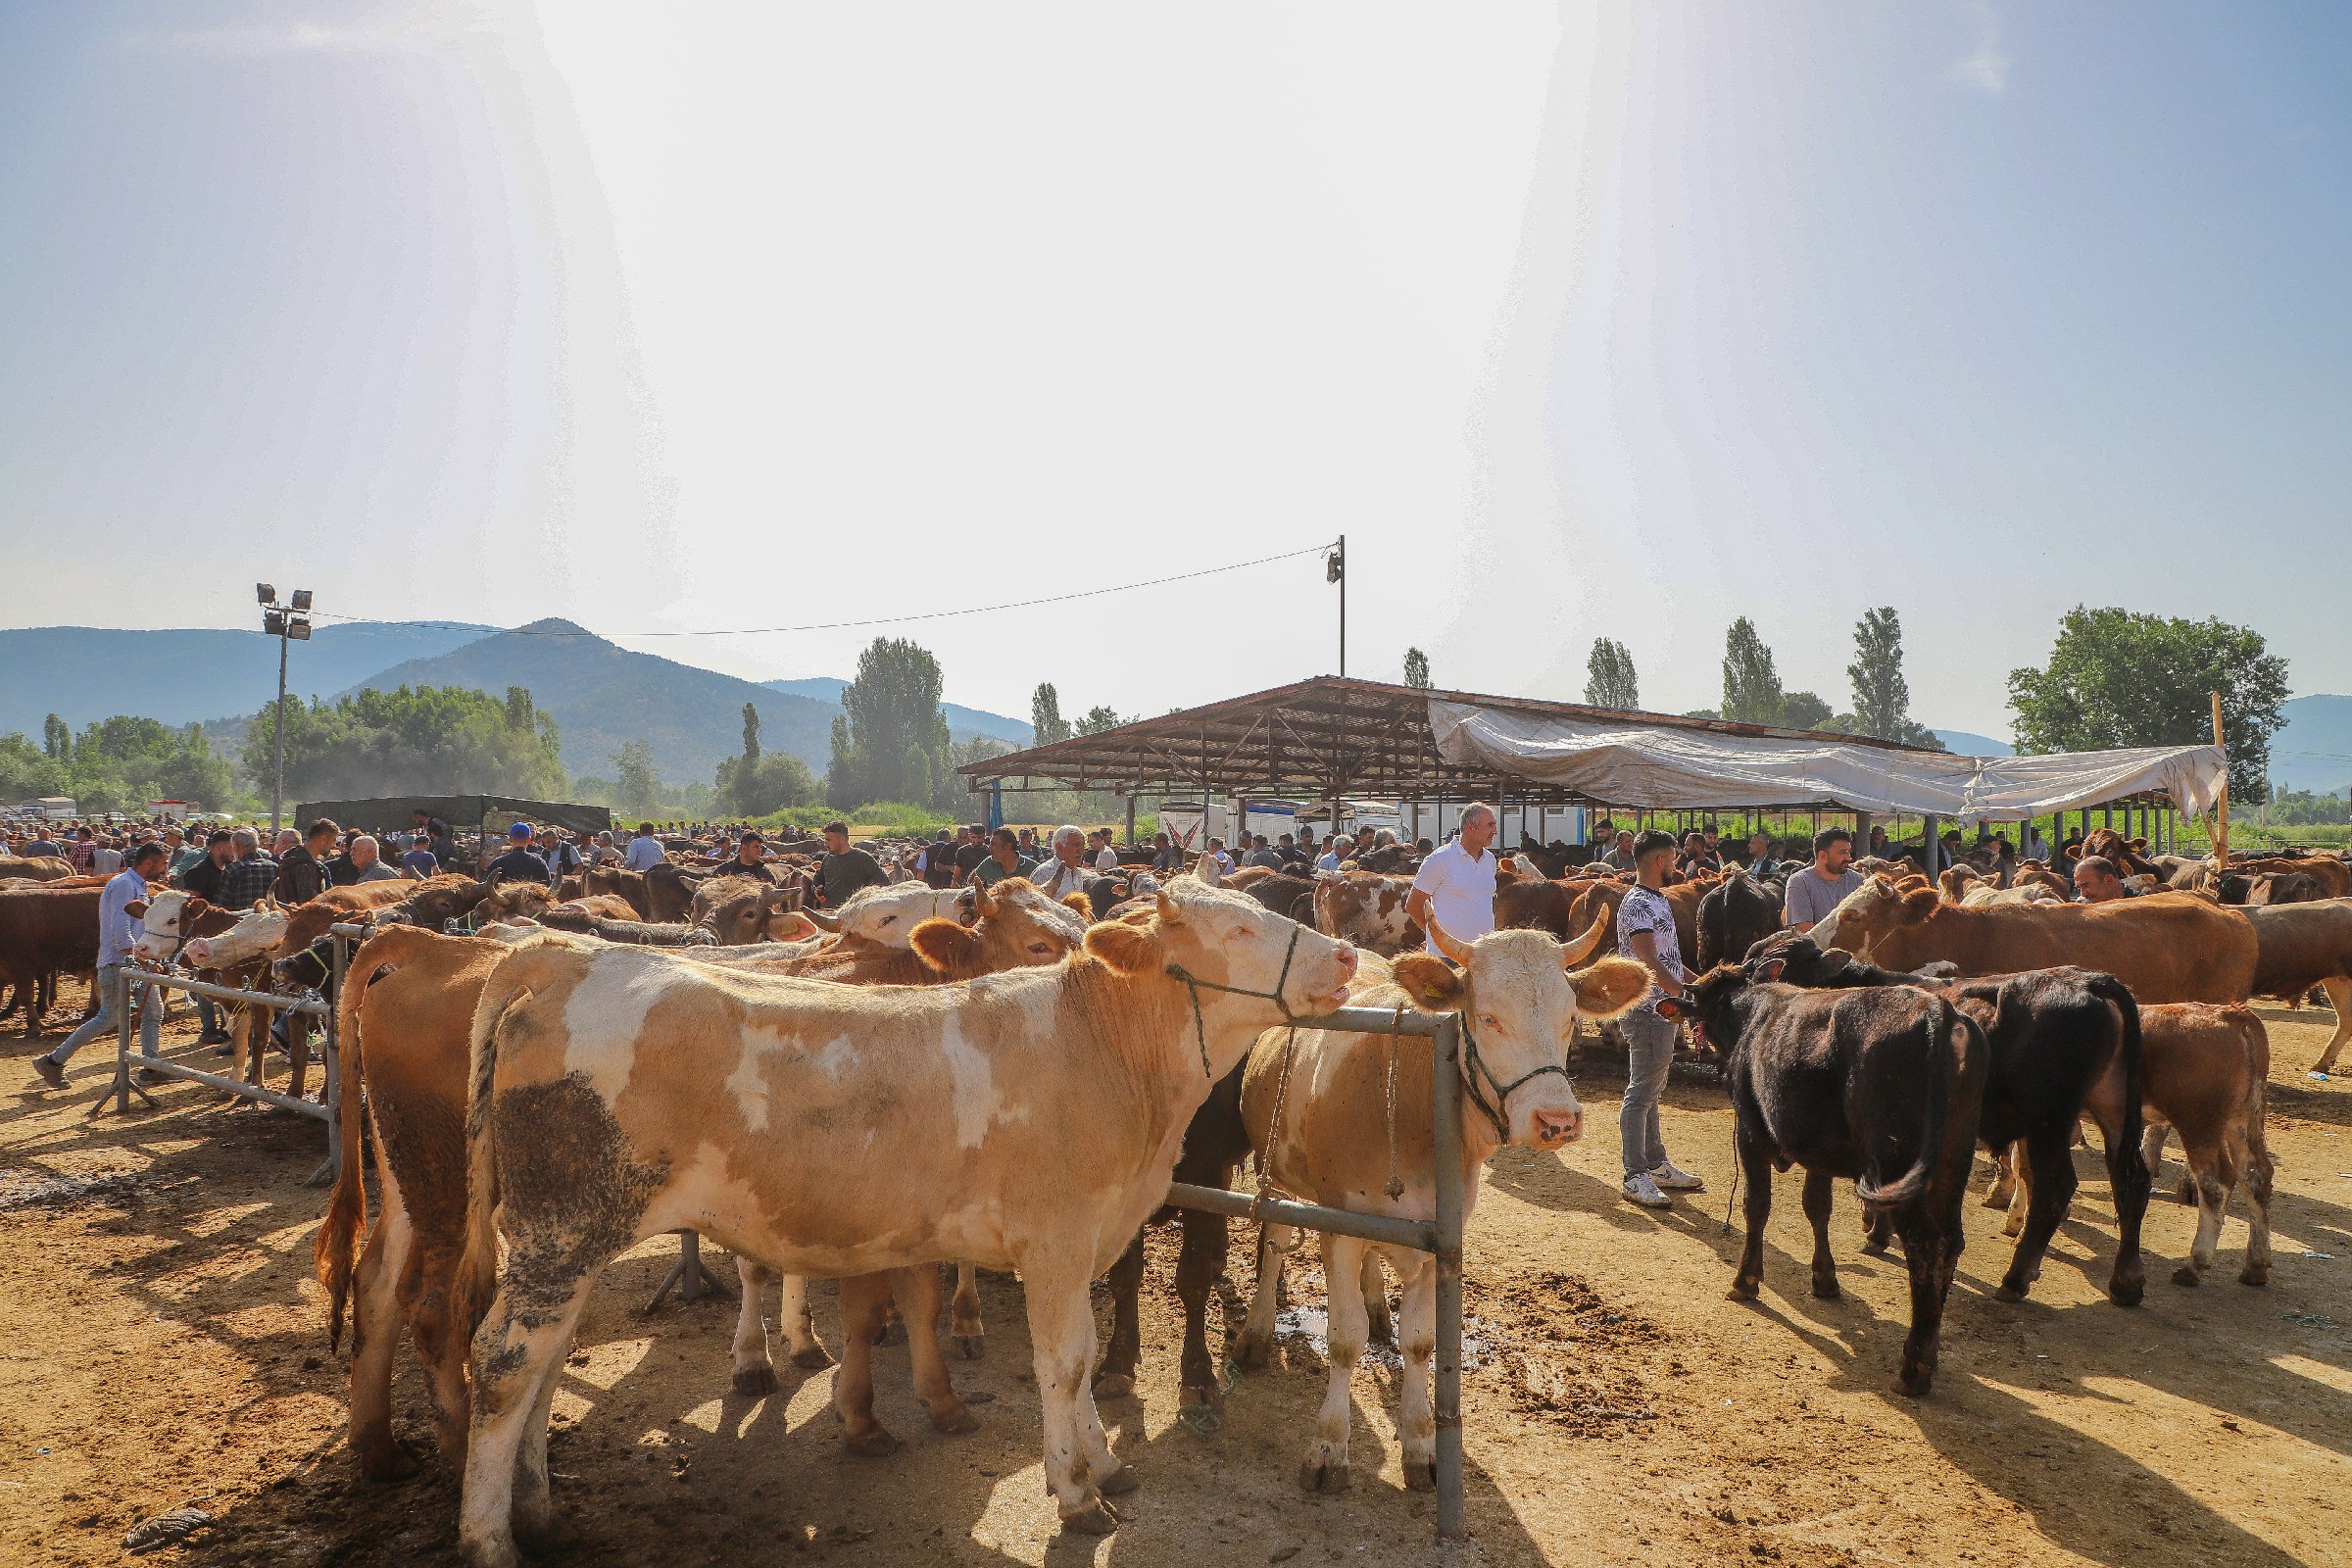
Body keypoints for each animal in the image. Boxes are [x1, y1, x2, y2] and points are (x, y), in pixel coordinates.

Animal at [449, 879, 1364, 1560]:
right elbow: (1064, 1363)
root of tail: (569, 957)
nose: (1349, 953)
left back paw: (537, 1512)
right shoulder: (1056, 1239)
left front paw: (1103, 1464)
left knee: (543, 1362)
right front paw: (1074, 1492)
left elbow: (1084, 1357)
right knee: (502, 1363)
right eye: (1239, 926)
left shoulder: (1091, 1239)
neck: (1100, 1050)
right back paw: (489, 1538)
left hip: (567, 1237)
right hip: (563, 1230)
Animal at [1242, 921, 1646, 1494]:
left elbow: (1419, 1343)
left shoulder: (1440, 1233)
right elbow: (1343, 1341)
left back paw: (1377, 1309)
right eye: (1488, 1017)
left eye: (1571, 1019)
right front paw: (1328, 1446)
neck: (1409, 1099)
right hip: (1274, 1173)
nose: (1557, 1121)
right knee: (1275, 1245)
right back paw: (1256, 1332)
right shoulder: (1338, 1228)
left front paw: (1421, 1443)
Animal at [1655, 950, 1984, 1392]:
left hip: (1899, 1164)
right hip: (1951, 1164)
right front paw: (1825, 1278)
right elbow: (1817, 1207)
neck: (1750, 1011)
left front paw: (1746, 1281)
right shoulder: (1820, 1151)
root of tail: (1937, 1010)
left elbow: (1756, 1207)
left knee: (1925, 1245)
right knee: (1950, 1243)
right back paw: (1927, 1354)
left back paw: (1914, 1367)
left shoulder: (1750, 1135)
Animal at [1768, 930, 2154, 1316]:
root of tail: (2089, 981)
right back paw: (2127, 1282)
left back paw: (2016, 1278)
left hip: (2048, 1119)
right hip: (2112, 1106)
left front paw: (1875, 1234)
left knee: (2054, 1188)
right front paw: (1878, 1232)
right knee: (2131, 1181)